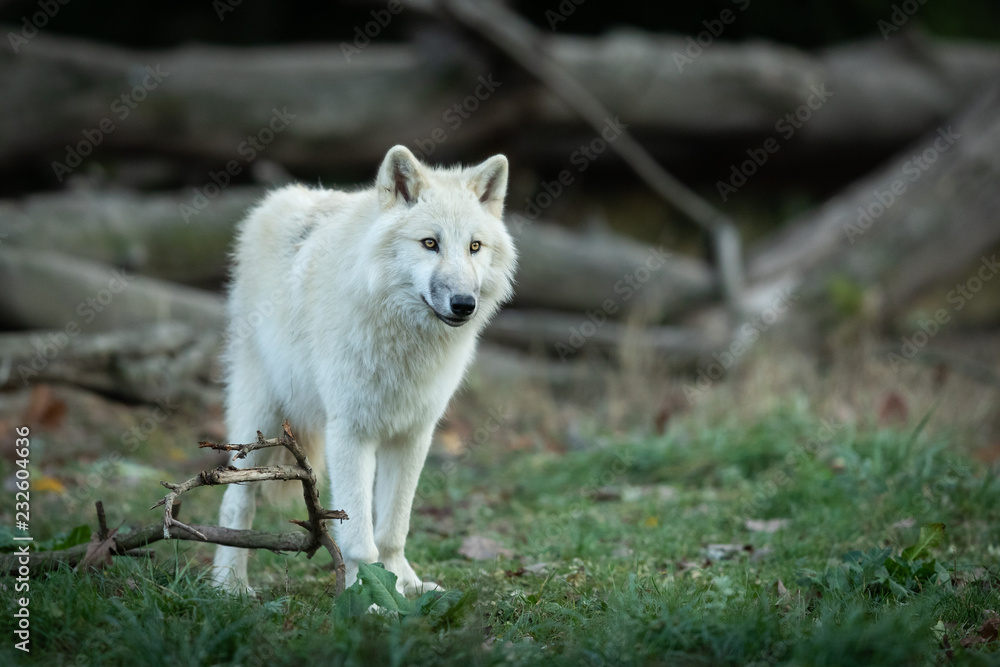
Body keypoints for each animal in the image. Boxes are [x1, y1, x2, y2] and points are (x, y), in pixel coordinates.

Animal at [211, 145, 516, 595]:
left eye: (475, 246)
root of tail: (280, 199)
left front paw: (401, 586)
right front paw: (367, 596)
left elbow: (393, 530)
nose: (464, 304)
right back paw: (229, 585)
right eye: (430, 243)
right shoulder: (350, 434)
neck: (404, 340)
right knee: (236, 502)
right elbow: (358, 539)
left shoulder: (413, 435)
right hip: (257, 419)